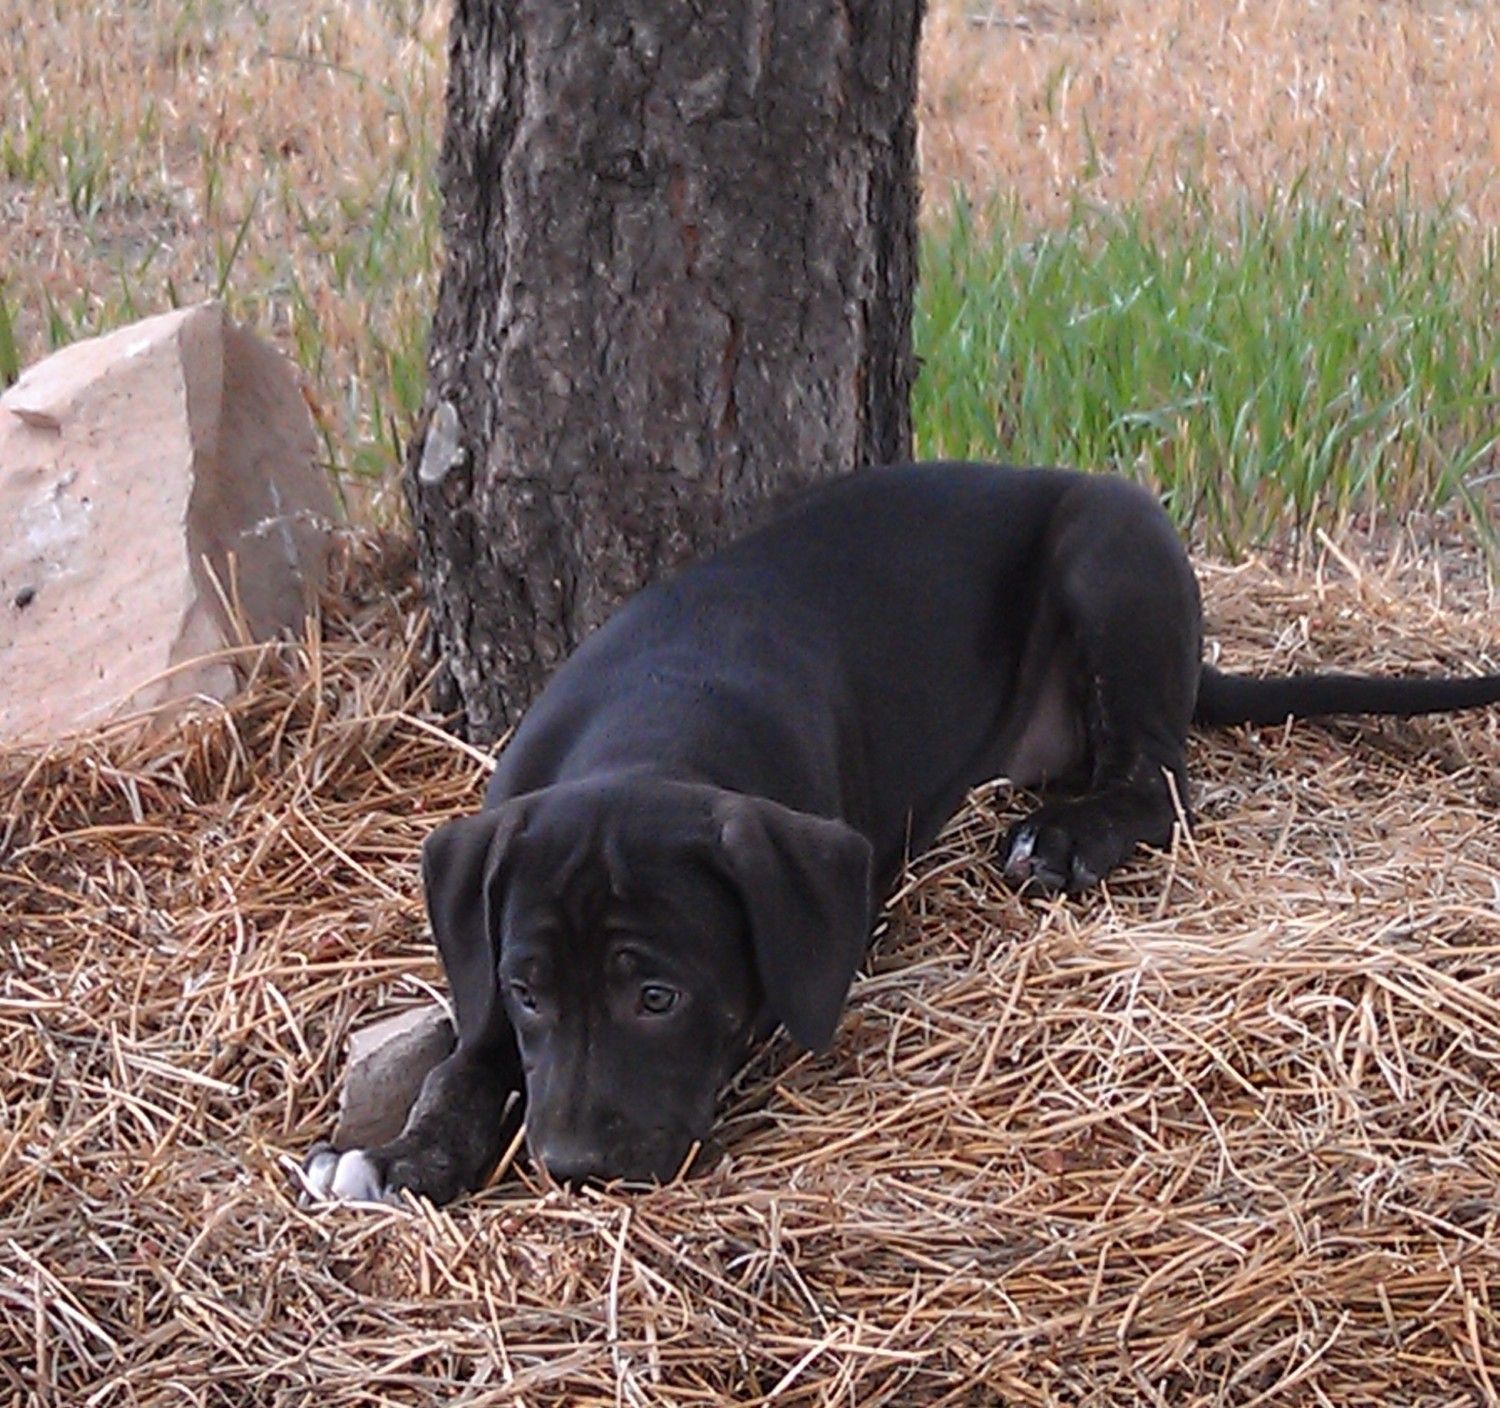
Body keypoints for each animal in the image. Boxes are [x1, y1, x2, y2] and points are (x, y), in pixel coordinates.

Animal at [302, 463, 1499, 1204]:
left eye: (659, 997)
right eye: (528, 989)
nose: (571, 1165)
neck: (650, 722)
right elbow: (464, 1056)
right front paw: (405, 1154)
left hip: (1112, 546)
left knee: (1157, 777)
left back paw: (1066, 836)